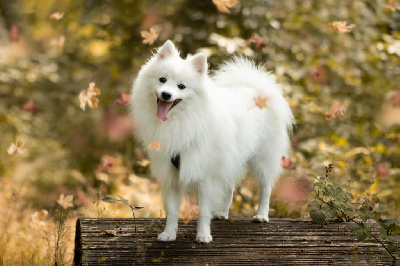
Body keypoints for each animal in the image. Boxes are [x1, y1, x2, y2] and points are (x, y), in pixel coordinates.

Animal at [131, 41, 294, 243]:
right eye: (162, 80)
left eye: (181, 86)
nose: (166, 94)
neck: (180, 121)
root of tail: (256, 91)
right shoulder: (171, 174)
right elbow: (172, 210)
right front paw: (169, 234)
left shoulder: (205, 174)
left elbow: (203, 210)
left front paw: (203, 235)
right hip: (230, 160)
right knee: (230, 187)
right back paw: (222, 213)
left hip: (262, 160)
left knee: (265, 188)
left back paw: (261, 215)